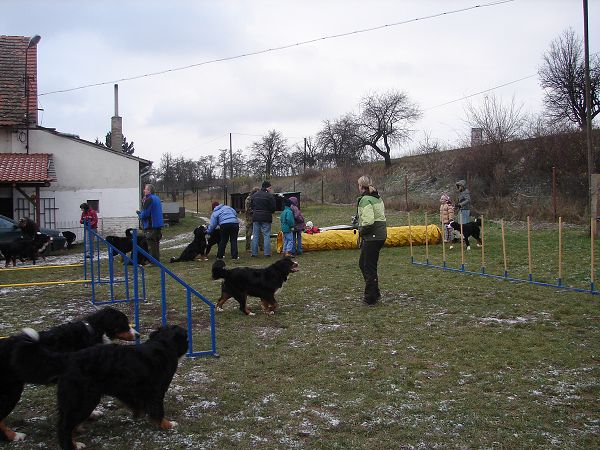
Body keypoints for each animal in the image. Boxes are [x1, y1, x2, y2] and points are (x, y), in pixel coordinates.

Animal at [12, 326, 190, 448]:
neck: (163, 345)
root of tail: (69, 358)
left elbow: (137, 405)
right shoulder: (156, 390)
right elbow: (158, 410)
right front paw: (167, 425)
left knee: (68, 423)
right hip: (85, 398)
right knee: (64, 427)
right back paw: (72, 446)